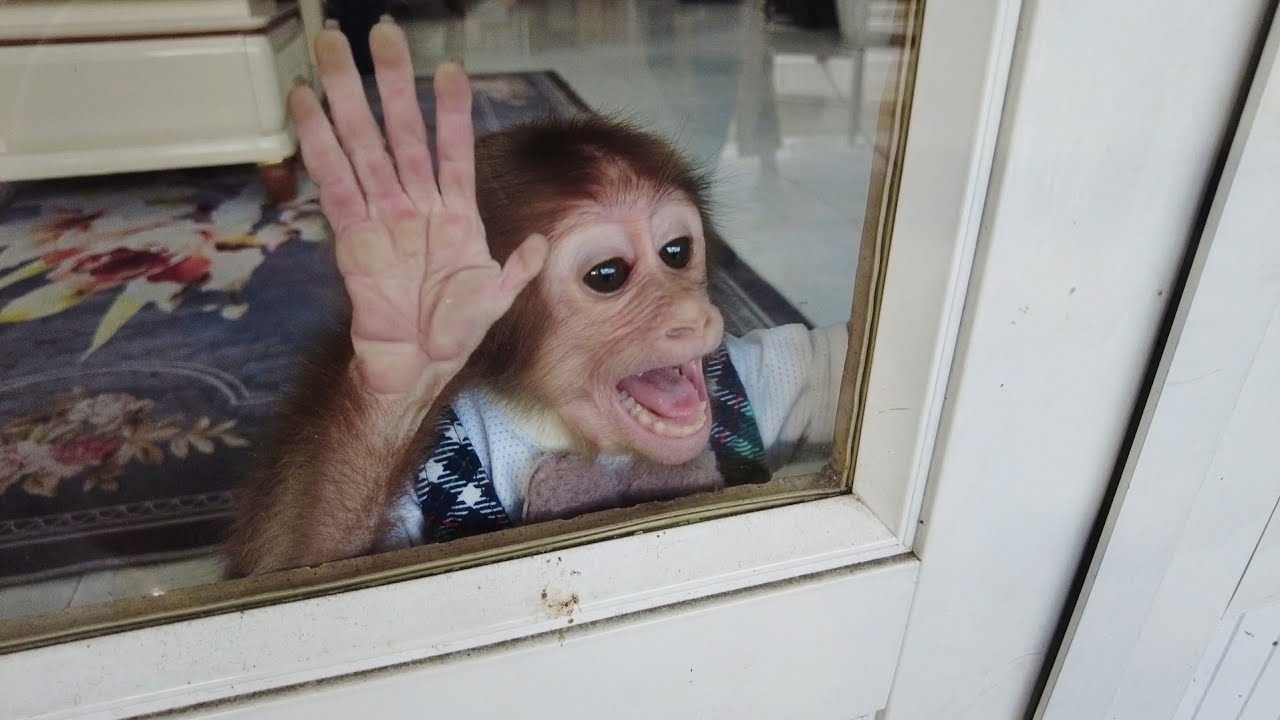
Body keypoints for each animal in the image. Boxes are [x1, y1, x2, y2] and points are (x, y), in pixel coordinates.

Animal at [225, 18, 847, 576]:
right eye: (607, 275)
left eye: (676, 252)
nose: (694, 316)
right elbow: (298, 560)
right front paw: (409, 315)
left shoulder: (754, 365)